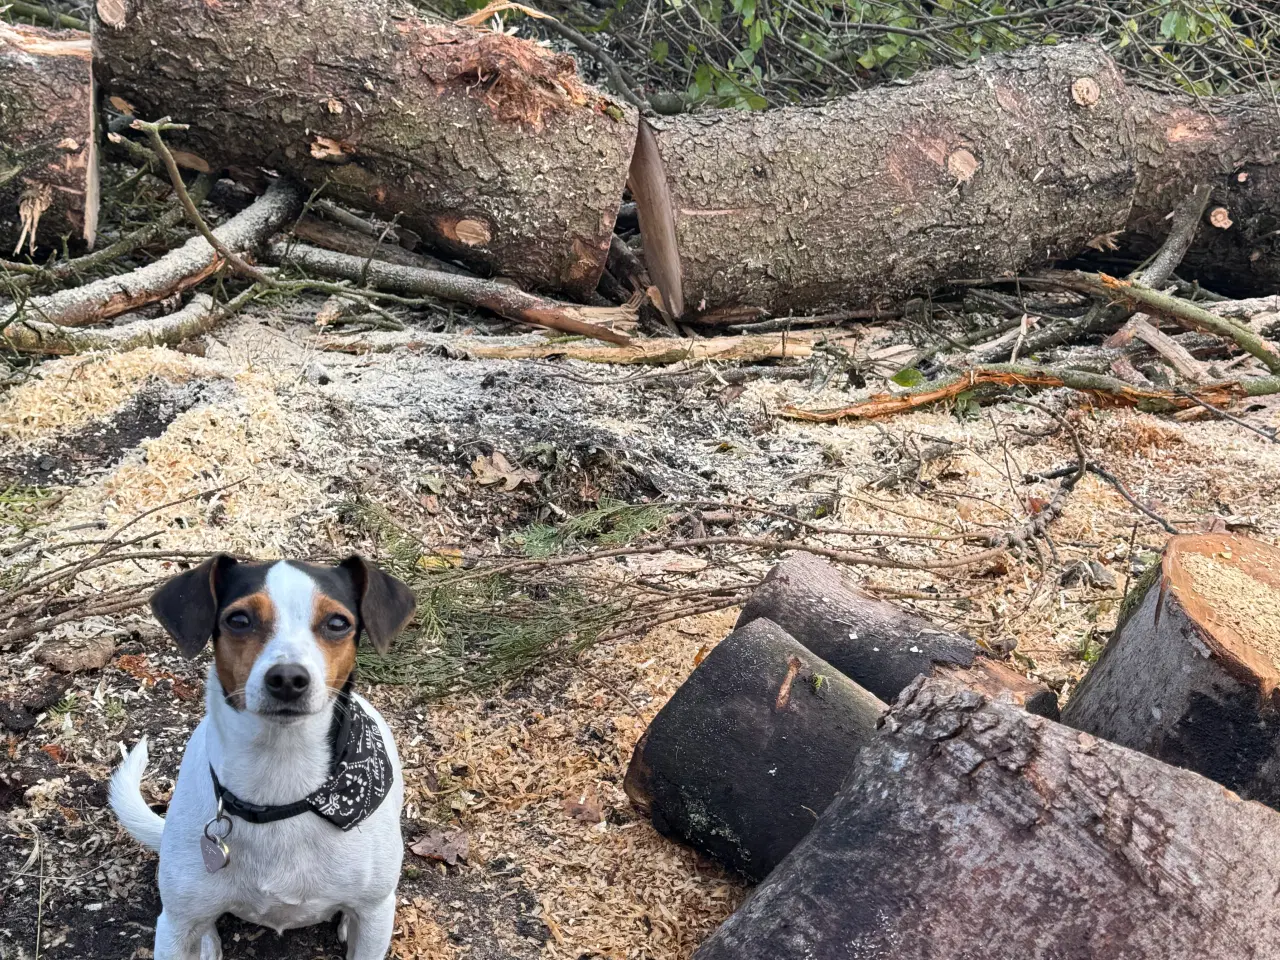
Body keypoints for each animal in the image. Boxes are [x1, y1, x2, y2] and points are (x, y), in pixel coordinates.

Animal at [108, 555, 414, 960]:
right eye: (239, 620)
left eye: (337, 623)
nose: (287, 679)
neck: (280, 785)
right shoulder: (175, 925)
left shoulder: (375, 912)